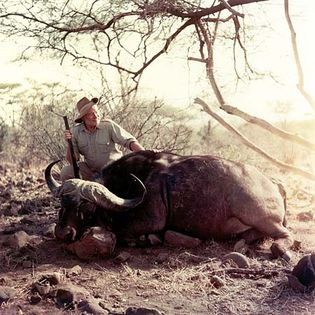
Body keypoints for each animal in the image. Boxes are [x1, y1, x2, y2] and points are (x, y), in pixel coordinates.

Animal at [45, 151, 296, 262]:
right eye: (62, 204)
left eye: (86, 206)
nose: (63, 233)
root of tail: (273, 183)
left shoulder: (149, 220)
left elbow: (124, 233)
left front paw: (149, 239)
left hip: (260, 216)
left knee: (284, 236)